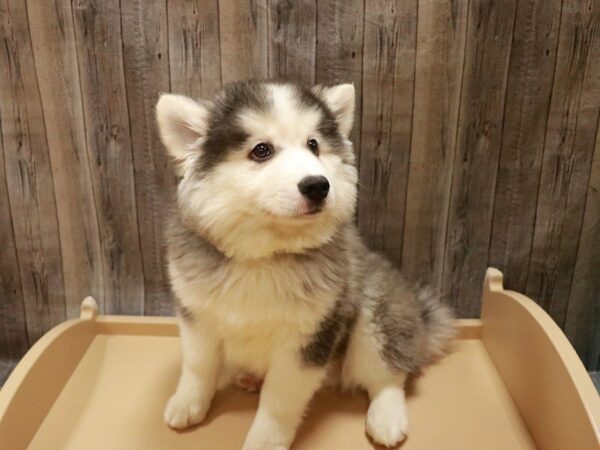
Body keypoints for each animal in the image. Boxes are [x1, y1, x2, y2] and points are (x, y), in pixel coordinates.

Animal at [156, 81, 454, 450]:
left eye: (314, 145)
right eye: (261, 150)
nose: (317, 185)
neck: (263, 258)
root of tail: (421, 318)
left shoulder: (309, 338)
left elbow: (278, 401)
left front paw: (264, 442)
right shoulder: (197, 316)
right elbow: (198, 366)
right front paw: (188, 403)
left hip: (376, 317)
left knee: (387, 376)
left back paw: (387, 418)